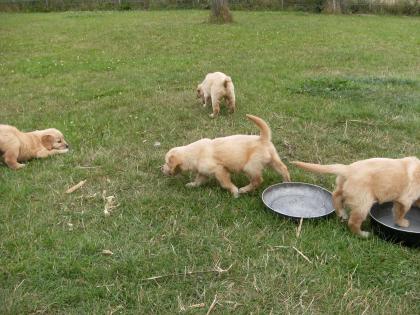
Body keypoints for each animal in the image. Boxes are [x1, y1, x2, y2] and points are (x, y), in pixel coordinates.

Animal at [162, 113, 290, 198]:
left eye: (167, 163)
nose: (161, 169)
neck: (194, 153)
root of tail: (262, 138)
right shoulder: (204, 172)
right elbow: (199, 180)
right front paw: (192, 185)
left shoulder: (219, 170)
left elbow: (225, 183)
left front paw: (234, 192)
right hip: (273, 159)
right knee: (283, 169)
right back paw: (286, 182)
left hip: (250, 166)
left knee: (258, 180)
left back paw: (244, 189)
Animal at [292, 157, 420, 238]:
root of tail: (348, 169)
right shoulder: (405, 200)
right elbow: (400, 213)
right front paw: (402, 223)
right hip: (363, 202)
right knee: (353, 222)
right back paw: (363, 234)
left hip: (343, 186)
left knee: (336, 195)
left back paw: (342, 213)